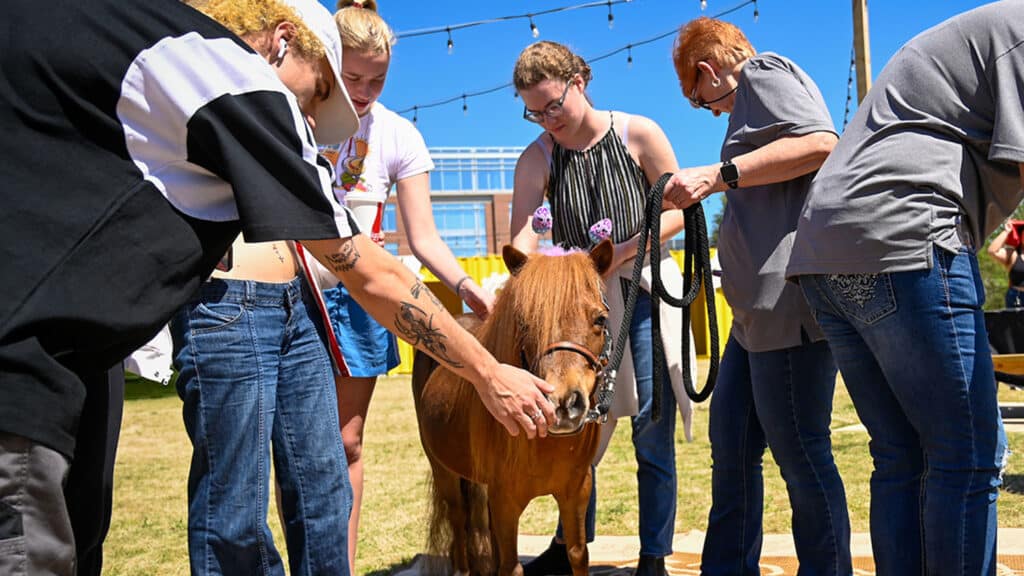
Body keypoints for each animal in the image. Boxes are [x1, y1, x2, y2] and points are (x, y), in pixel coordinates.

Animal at [412, 240, 614, 576]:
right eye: (526, 322)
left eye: (600, 319)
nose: (563, 404)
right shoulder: (505, 500)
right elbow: (511, 566)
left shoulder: (576, 491)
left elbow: (577, 554)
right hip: (444, 471)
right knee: (458, 520)